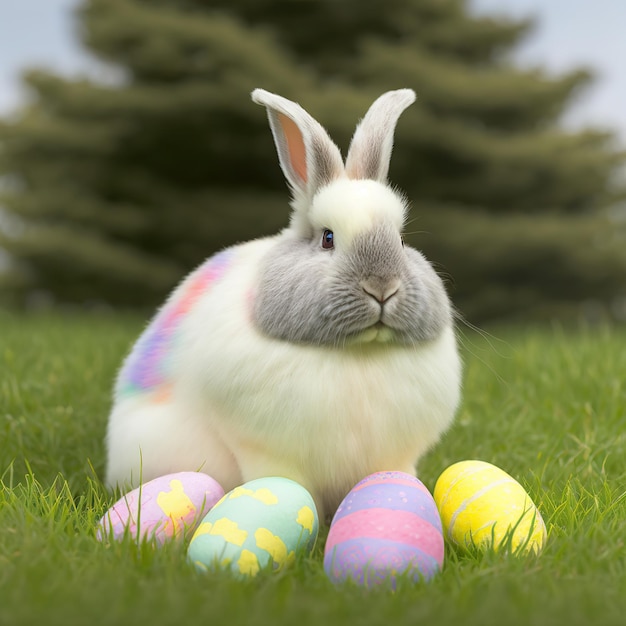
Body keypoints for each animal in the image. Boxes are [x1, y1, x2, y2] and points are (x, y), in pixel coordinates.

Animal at [105, 86, 460, 516]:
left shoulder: (395, 456)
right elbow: (281, 482)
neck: (358, 354)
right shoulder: (264, 449)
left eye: (401, 239)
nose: (382, 287)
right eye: (327, 238)